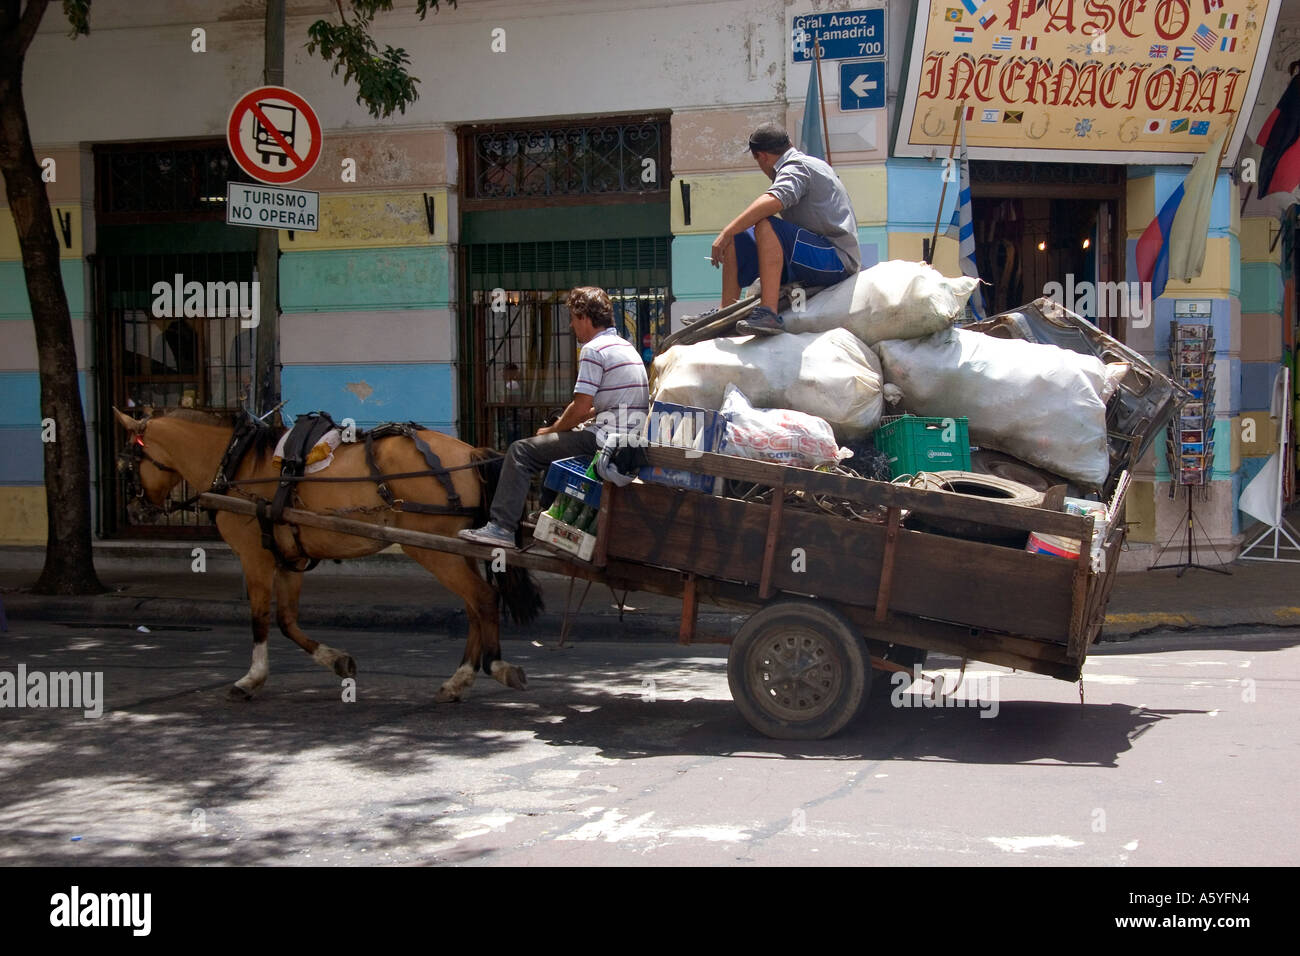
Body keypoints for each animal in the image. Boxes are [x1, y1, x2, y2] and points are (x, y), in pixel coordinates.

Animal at [110, 408, 538, 707]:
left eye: (127, 465)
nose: (136, 510)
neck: (236, 461)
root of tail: (471, 453)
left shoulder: (255, 557)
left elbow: (260, 619)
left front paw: (251, 679)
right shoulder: (290, 558)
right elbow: (287, 621)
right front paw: (336, 661)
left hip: (432, 549)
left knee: (482, 599)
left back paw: (494, 667)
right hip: (450, 547)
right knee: (475, 607)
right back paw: (458, 680)